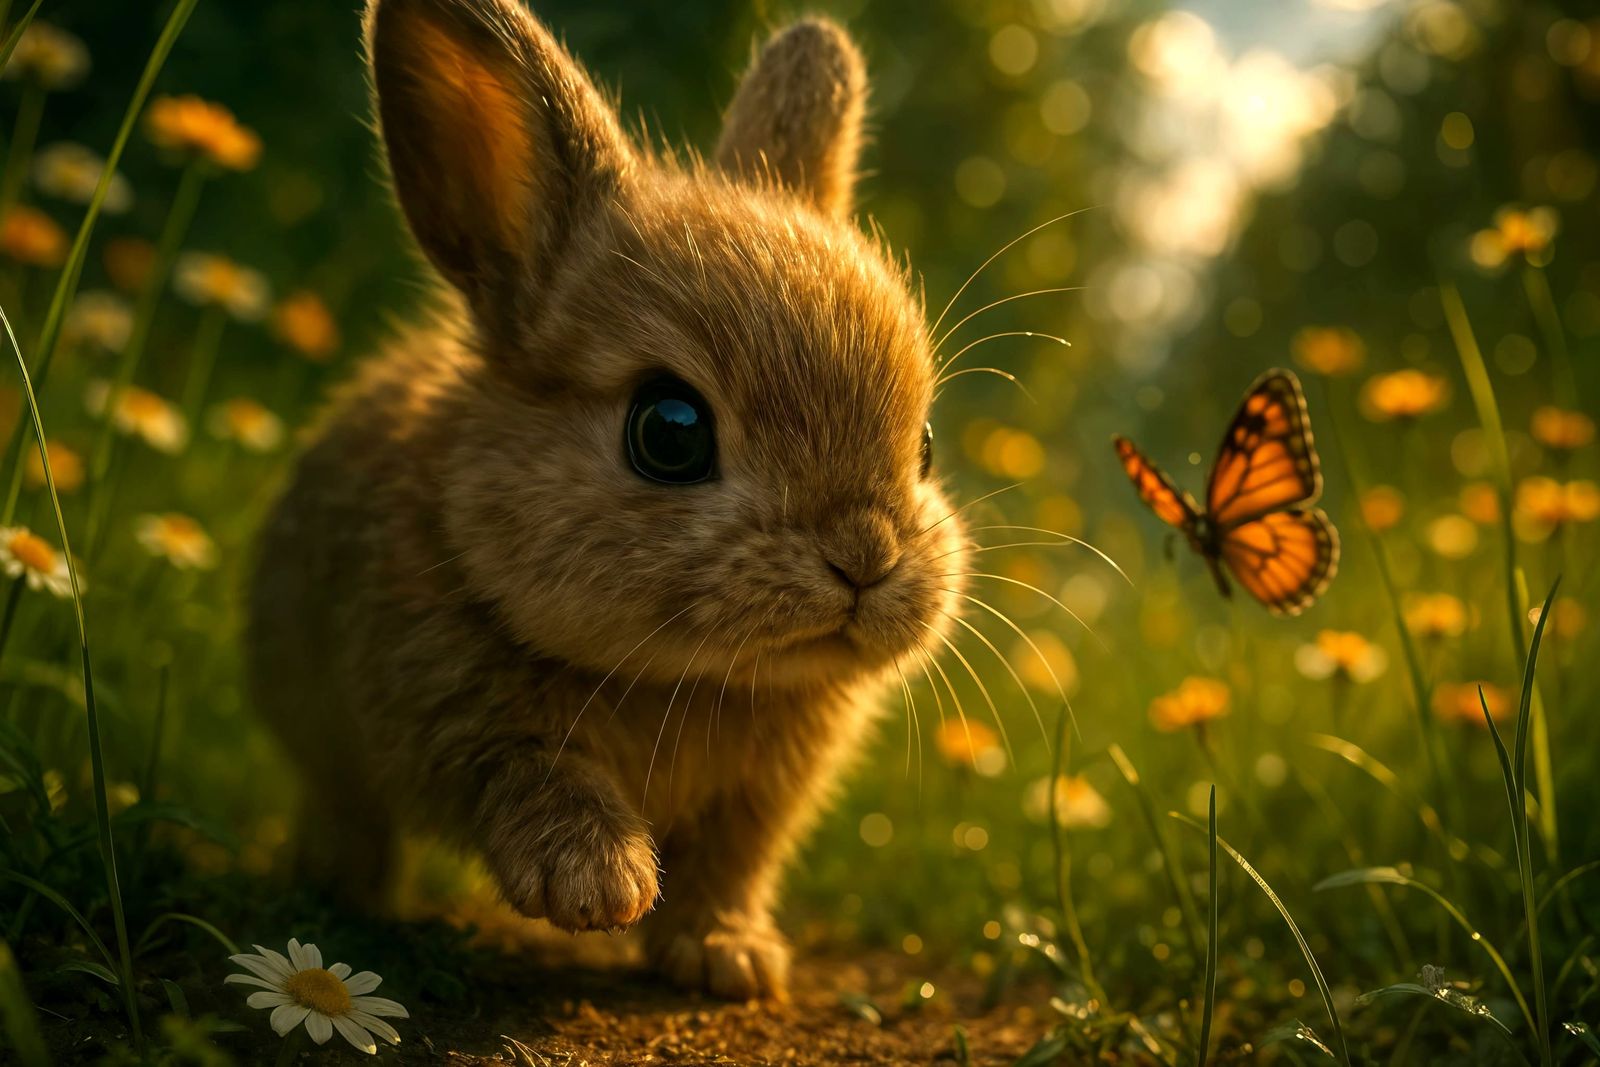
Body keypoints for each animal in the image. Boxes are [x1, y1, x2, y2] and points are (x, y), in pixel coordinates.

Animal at [247, 0, 969, 1002]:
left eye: (925, 445)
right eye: (670, 431)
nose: (865, 557)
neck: (691, 679)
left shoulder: (758, 804)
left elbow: (727, 867)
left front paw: (728, 957)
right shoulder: (454, 711)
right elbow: (531, 768)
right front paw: (598, 884)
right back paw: (338, 893)